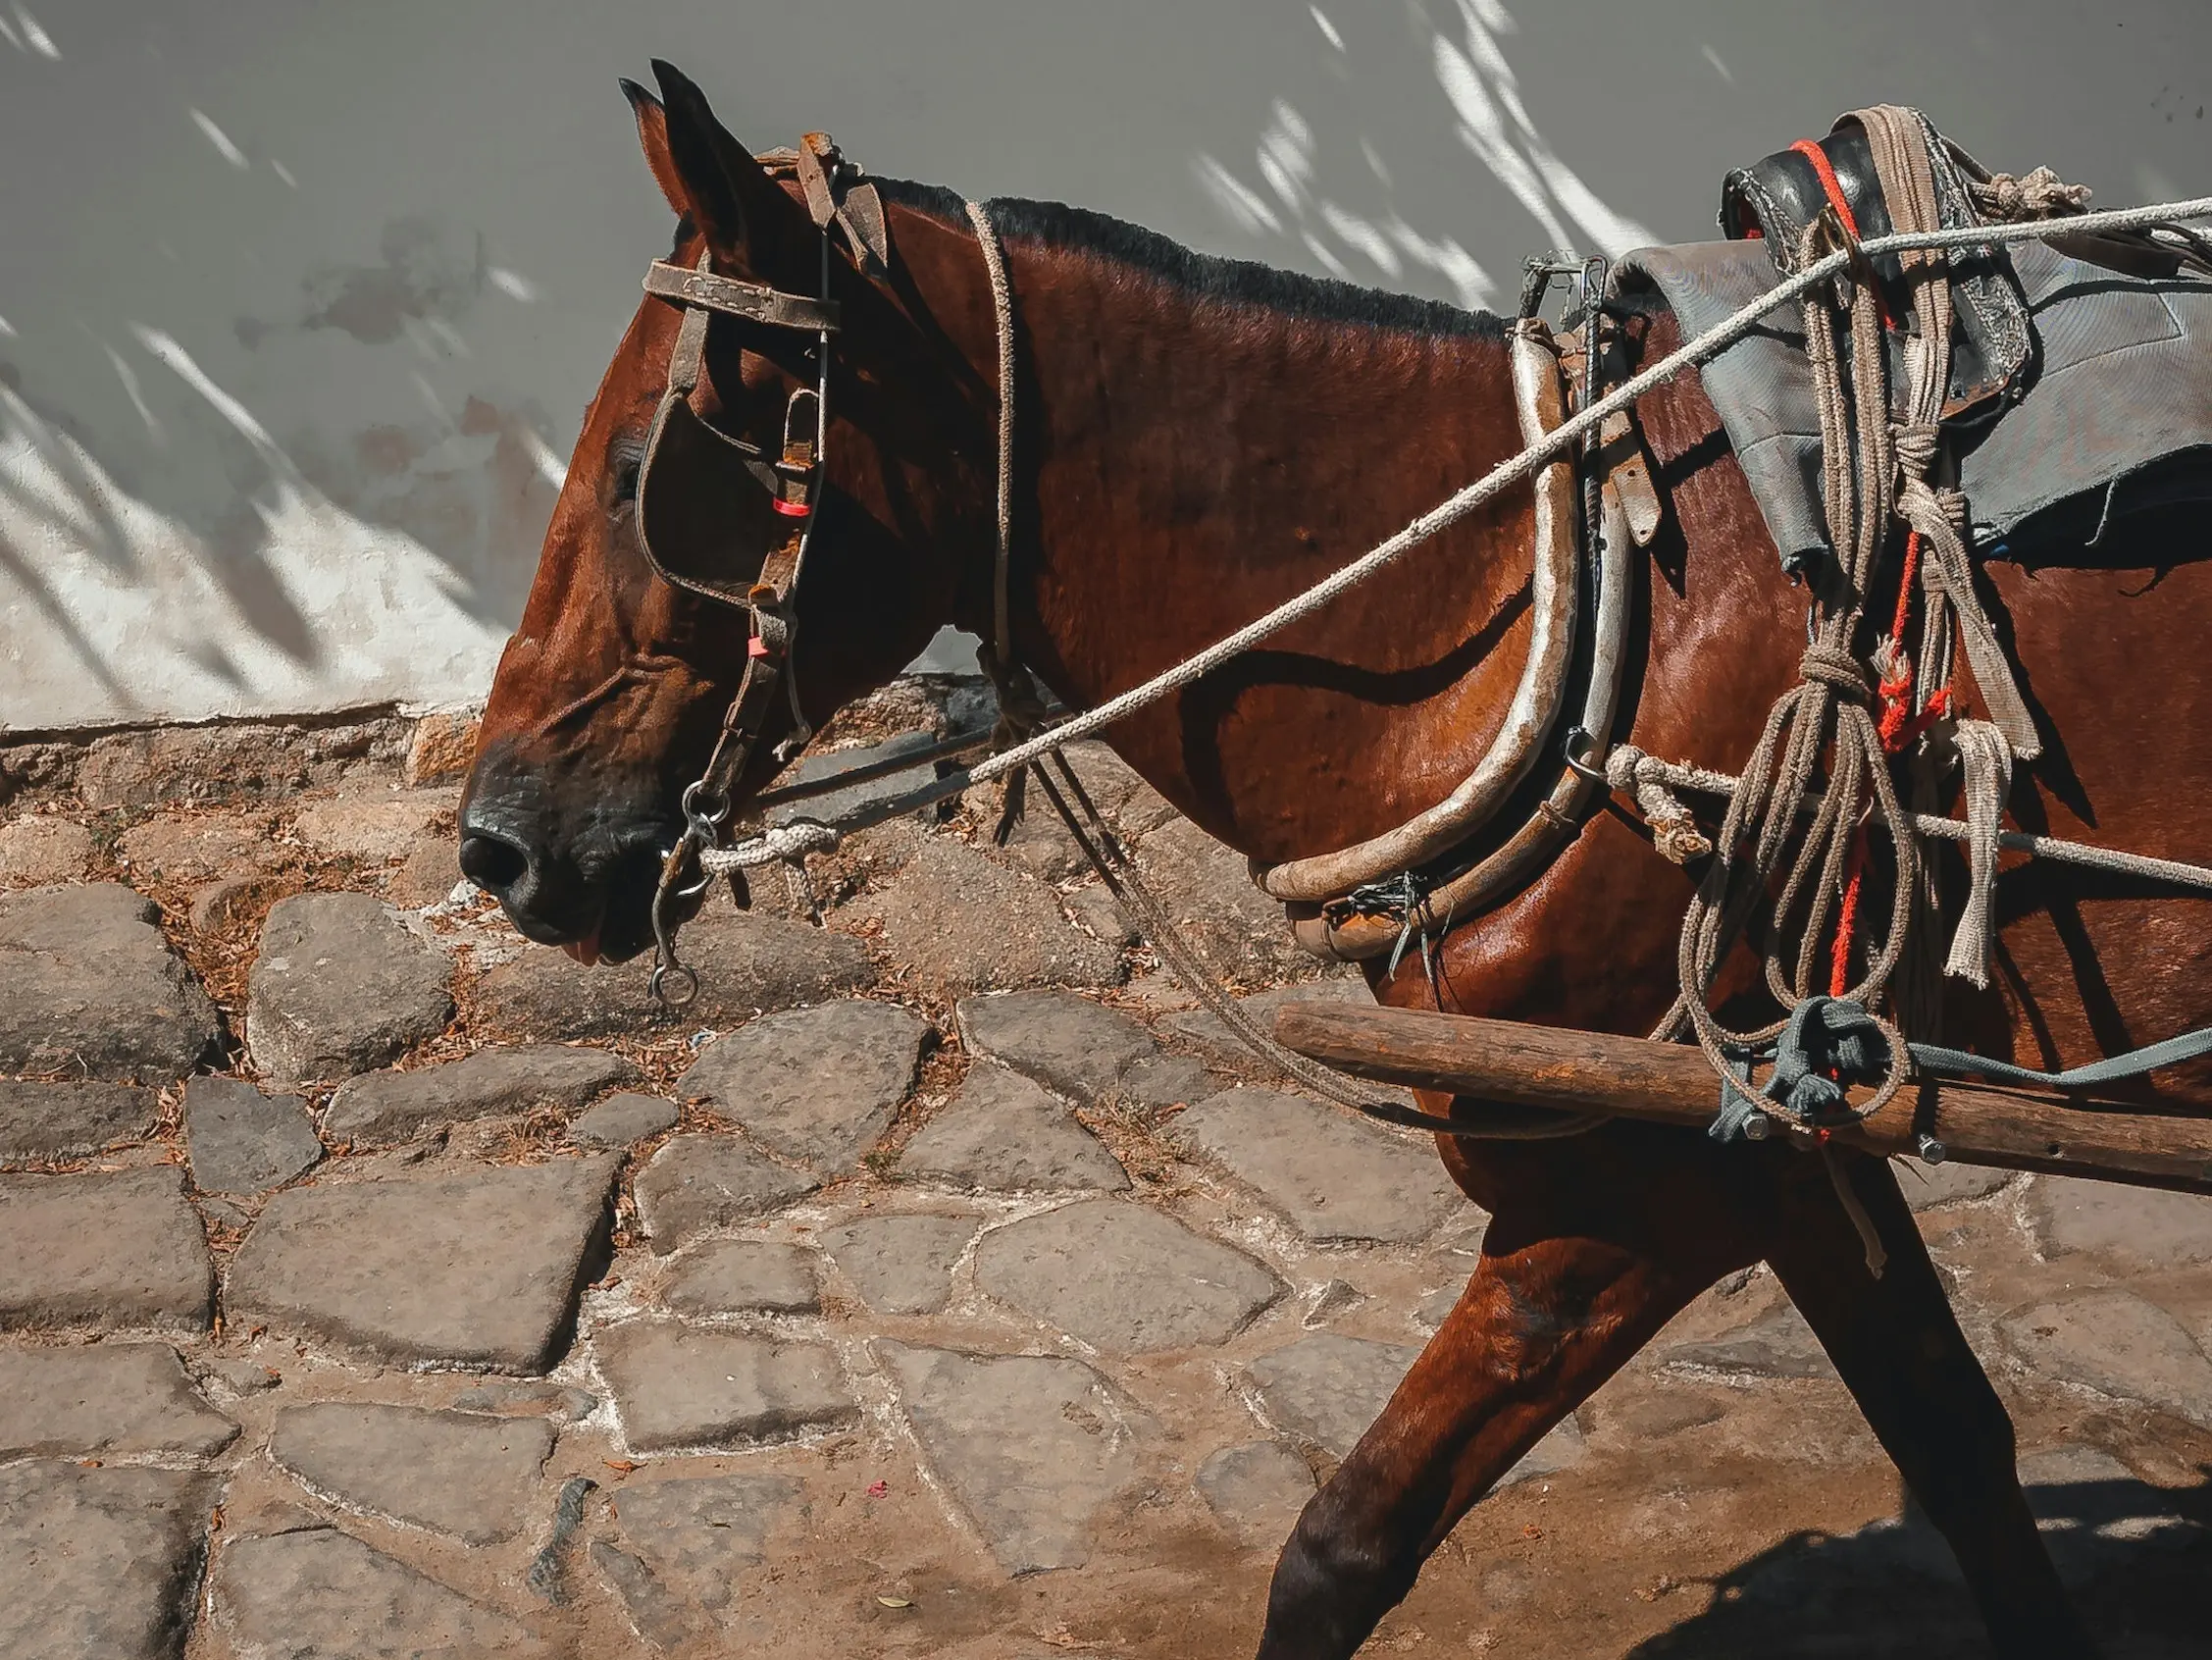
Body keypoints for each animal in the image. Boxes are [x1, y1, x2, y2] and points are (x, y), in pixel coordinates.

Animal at [461, 61, 2210, 1658]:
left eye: (640, 474)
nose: (500, 844)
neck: (1548, 587)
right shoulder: (1782, 1125)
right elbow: (1953, 1442)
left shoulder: (1626, 1188)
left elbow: (1346, 1539)